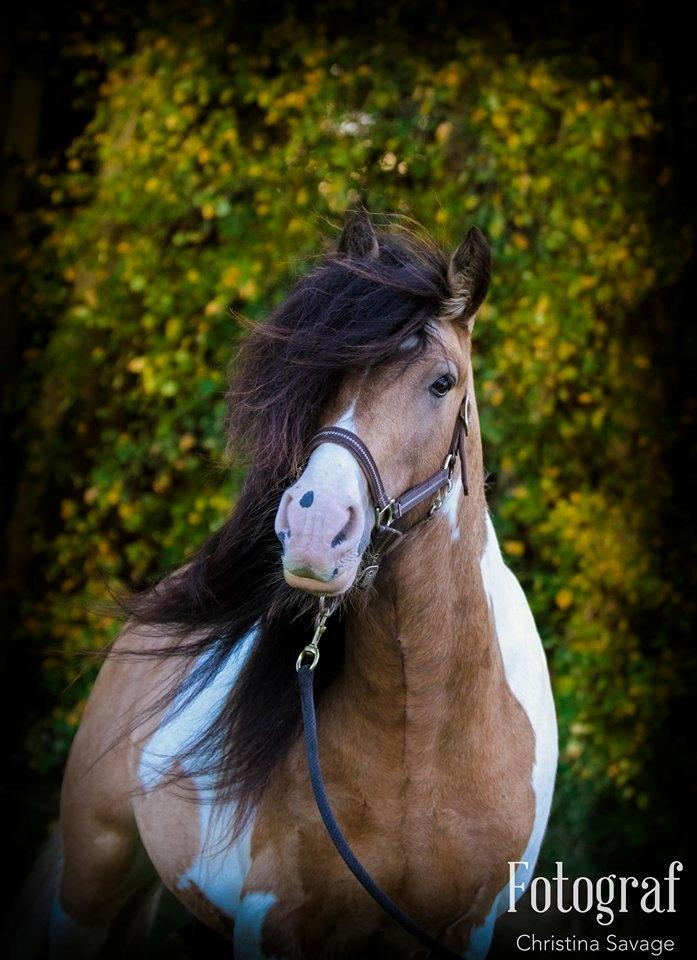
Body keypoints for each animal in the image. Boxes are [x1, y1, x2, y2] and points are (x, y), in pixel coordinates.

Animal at [23, 212, 560, 960]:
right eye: (321, 373)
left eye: (442, 382)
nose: (312, 528)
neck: (425, 735)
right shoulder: (273, 920)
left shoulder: (465, 932)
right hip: (91, 882)